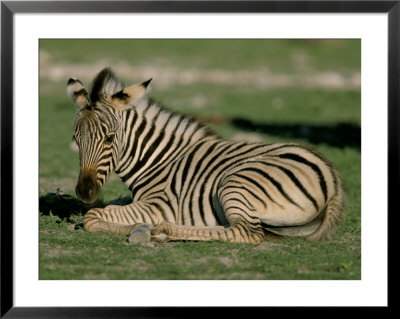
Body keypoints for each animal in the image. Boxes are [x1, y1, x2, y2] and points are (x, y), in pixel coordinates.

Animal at [67, 67, 346, 246]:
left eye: (110, 139)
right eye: (75, 139)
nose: (84, 193)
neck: (157, 160)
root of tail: (332, 179)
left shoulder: (159, 204)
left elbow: (93, 217)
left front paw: (140, 228)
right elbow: (106, 209)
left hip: (236, 183)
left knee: (247, 233)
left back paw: (162, 231)